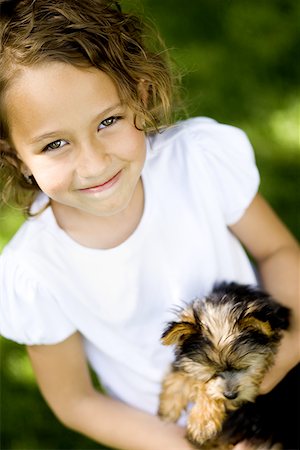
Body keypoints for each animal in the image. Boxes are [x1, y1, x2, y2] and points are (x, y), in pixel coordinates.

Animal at [158, 284, 298, 448]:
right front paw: (169, 406)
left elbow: (204, 388)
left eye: (244, 367)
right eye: (212, 372)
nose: (230, 395)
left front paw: (202, 422)